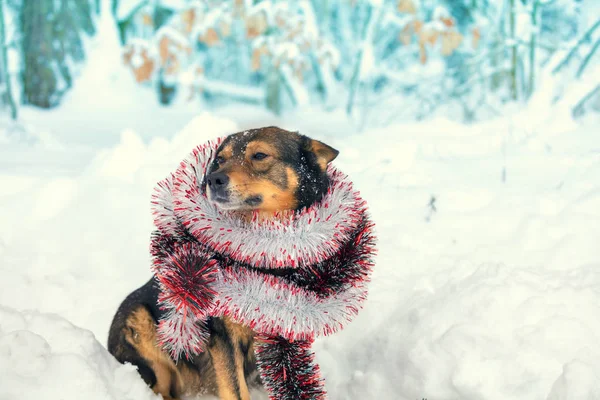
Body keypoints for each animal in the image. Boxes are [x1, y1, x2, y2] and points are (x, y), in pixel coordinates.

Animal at [108, 126, 340, 398]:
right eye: (219, 159)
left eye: (259, 155)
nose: (213, 179)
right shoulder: (223, 336)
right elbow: (235, 389)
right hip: (144, 324)